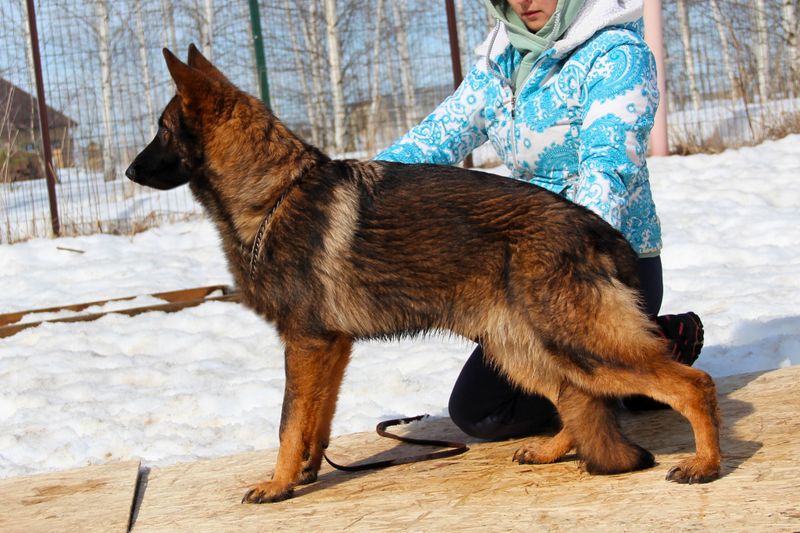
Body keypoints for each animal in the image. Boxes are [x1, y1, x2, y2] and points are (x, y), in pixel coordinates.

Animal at [128, 46, 720, 502]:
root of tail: (600, 230)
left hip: (575, 342)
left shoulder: (306, 343)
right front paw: (305, 472)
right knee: (578, 399)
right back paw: (554, 450)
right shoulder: (330, 347)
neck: (275, 193)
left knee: (689, 384)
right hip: (524, 348)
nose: (129, 171)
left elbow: (287, 422)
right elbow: (317, 419)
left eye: (160, 130)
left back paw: (705, 463)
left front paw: (276, 484)